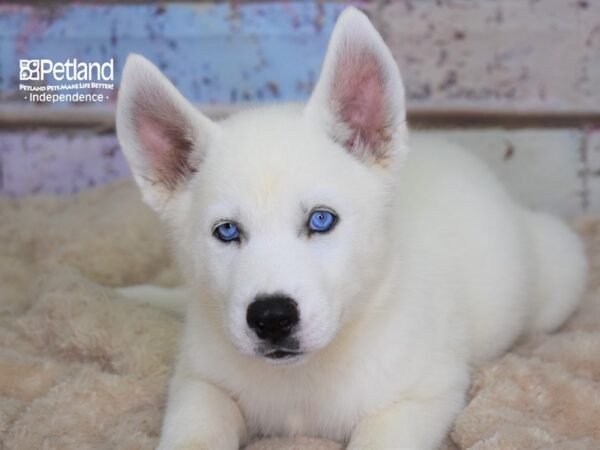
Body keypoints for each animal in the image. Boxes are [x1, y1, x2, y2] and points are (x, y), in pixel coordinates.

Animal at [115, 7, 588, 450]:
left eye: (321, 220)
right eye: (227, 231)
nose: (272, 318)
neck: (306, 376)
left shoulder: (422, 396)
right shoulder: (200, 383)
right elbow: (194, 432)